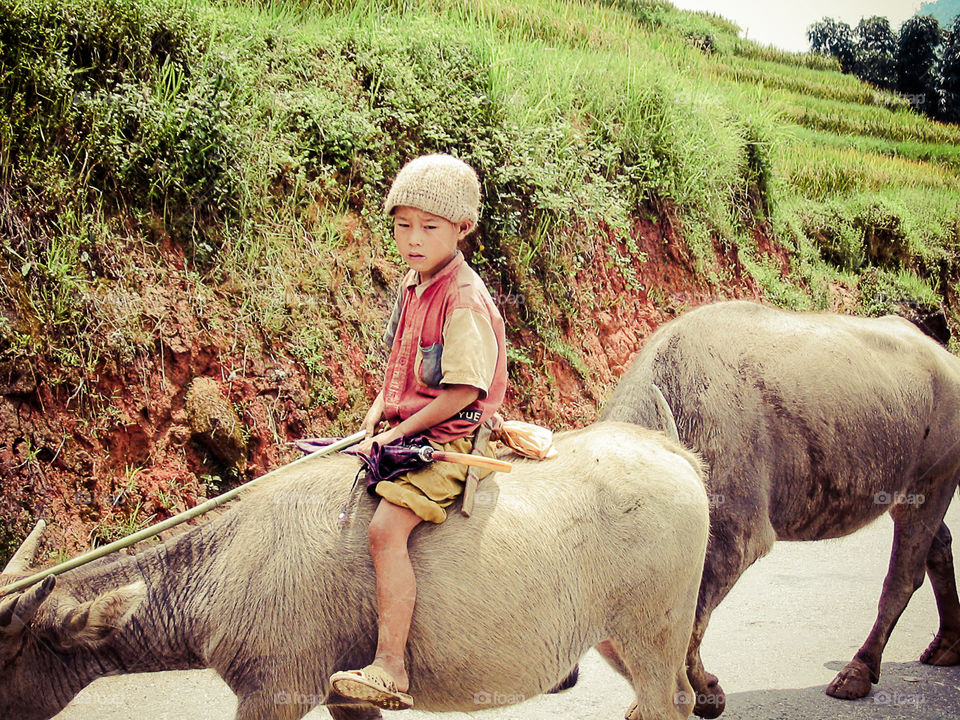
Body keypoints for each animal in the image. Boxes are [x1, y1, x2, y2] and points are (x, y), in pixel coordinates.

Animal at [0, 422, 709, 720]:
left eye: (4, 656)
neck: (230, 563)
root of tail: (677, 455)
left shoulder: (275, 692)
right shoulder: (345, 699)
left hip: (651, 631)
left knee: (667, 706)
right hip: (618, 638)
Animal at [601, 300, 960, 717]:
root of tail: (945, 361)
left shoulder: (736, 539)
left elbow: (691, 623)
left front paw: (706, 694)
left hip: (931, 485)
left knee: (904, 577)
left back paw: (858, 671)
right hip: (909, 493)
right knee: (939, 547)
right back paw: (948, 645)